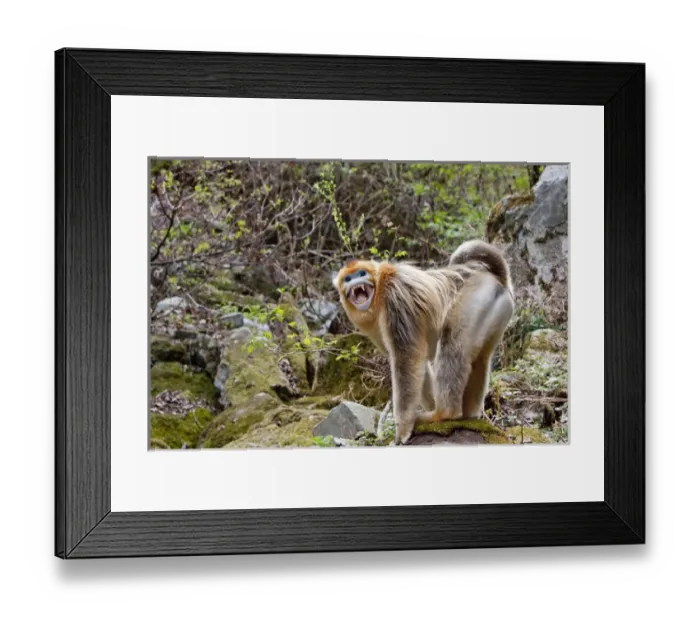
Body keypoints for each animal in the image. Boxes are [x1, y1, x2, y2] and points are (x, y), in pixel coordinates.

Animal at [333, 240, 514, 445]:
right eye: (348, 279)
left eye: (361, 274)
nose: (355, 281)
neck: (379, 289)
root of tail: (498, 279)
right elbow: (417, 364)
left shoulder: (395, 298)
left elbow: (406, 359)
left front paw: (402, 430)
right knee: (481, 359)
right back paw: (467, 415)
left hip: (477, 297)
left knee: (453, 346)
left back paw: (443, 414)